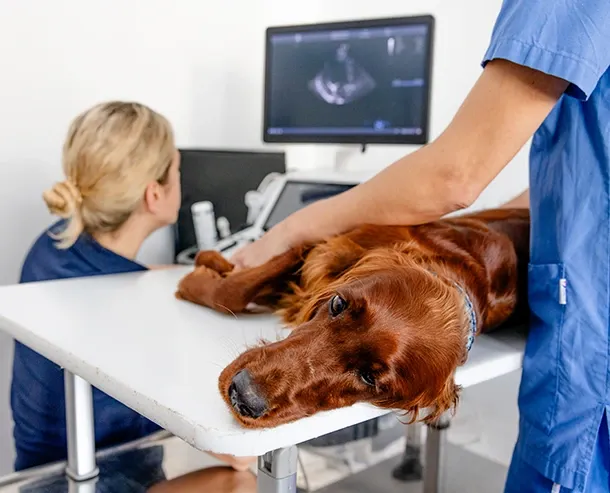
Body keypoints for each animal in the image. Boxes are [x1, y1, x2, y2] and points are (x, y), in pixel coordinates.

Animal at [175, 207, 528, 426]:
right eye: (337, 304)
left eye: (368, 378)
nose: (243, 395)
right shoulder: (325, 246)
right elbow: (234, 290)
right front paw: (207, 266)